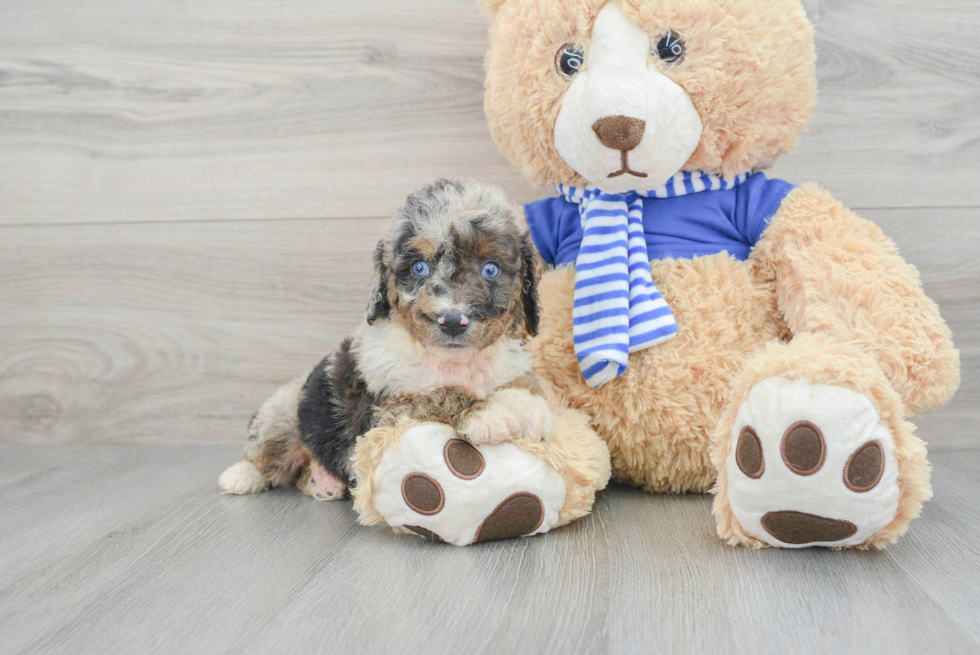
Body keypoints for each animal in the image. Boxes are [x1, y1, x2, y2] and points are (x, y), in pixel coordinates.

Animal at [222, 179, 556, 502]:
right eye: (419, 267)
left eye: (490, 269)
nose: (451, 321)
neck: (451, 361)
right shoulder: (388, 410)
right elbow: (441, 395)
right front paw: (491, 414)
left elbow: (530, 389)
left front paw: (526, 407)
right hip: (285, 413)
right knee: (266, 448)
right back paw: (241, 476)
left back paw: (322, 481)